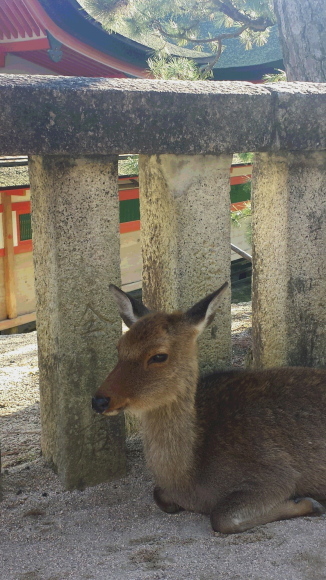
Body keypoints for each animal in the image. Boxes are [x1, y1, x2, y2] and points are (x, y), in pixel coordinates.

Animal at [91, 282, 326, 536]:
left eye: (159, 355)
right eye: (119, 348)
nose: (99, 400)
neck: (190, 480)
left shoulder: (276, 474)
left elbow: (221, 517)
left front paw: (310, 503)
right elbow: (160, 495)